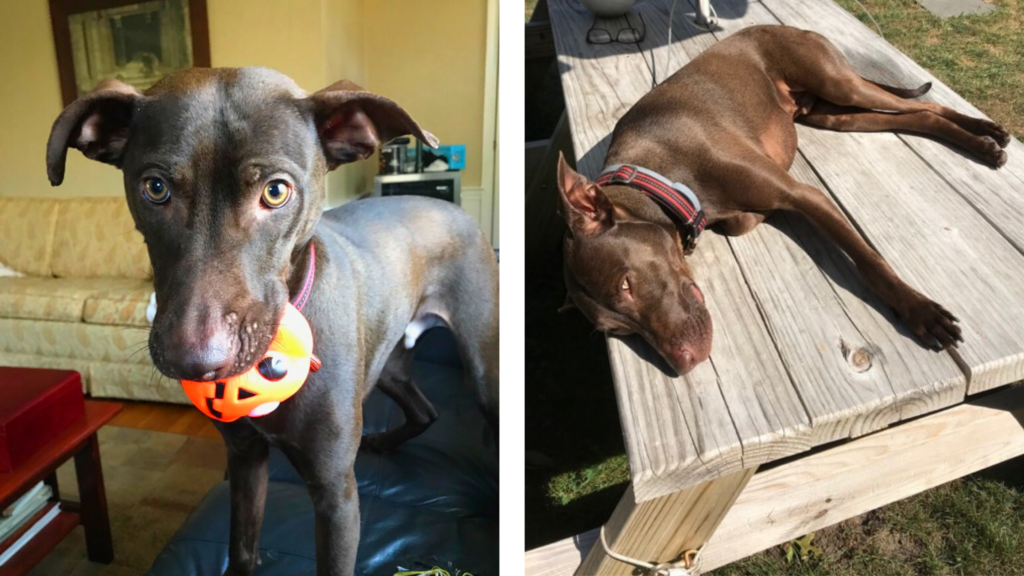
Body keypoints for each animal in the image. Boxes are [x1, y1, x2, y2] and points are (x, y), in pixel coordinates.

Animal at [44, 68, 499, 573]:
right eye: (155, 188)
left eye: (276, 191)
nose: (195, 362)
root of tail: (453, 209)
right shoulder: (246, 458)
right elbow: (242, 547)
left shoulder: (336, 496)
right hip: (388, 363)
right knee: (425, 409)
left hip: (484, 370)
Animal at [561, 26, 1007, 375]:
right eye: (619, 330)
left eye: (627, 283)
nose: (684, 363)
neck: (657, 173)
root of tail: (788, 27)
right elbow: (739, 221)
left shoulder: (802, 194)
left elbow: (869, 262)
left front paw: (920, 311)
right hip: (835, 115)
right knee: (917, 116)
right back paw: (981, 142)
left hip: (839, 84)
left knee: (924, 103)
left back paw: (986, 137)